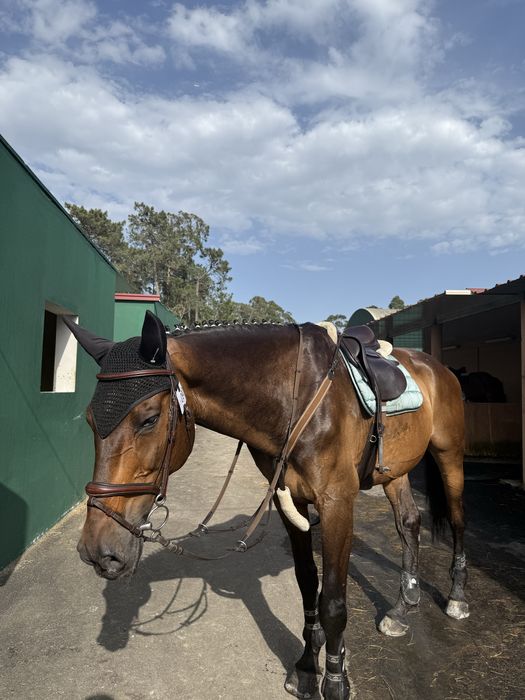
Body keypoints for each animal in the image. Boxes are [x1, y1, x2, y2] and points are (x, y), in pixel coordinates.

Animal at [66, 311, 469, 700]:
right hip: (394, 469)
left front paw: (335, 680)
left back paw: (456, 597)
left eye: (148, 419)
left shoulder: (337, 502)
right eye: (89, 420)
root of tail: (436, 366)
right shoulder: (290, 499)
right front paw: (306, 667)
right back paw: (403, 606)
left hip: (449, 454)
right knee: (409, 522)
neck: (296, 395)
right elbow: (308, 586)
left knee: (458, 521)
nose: (97, 551)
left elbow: (333, 601)